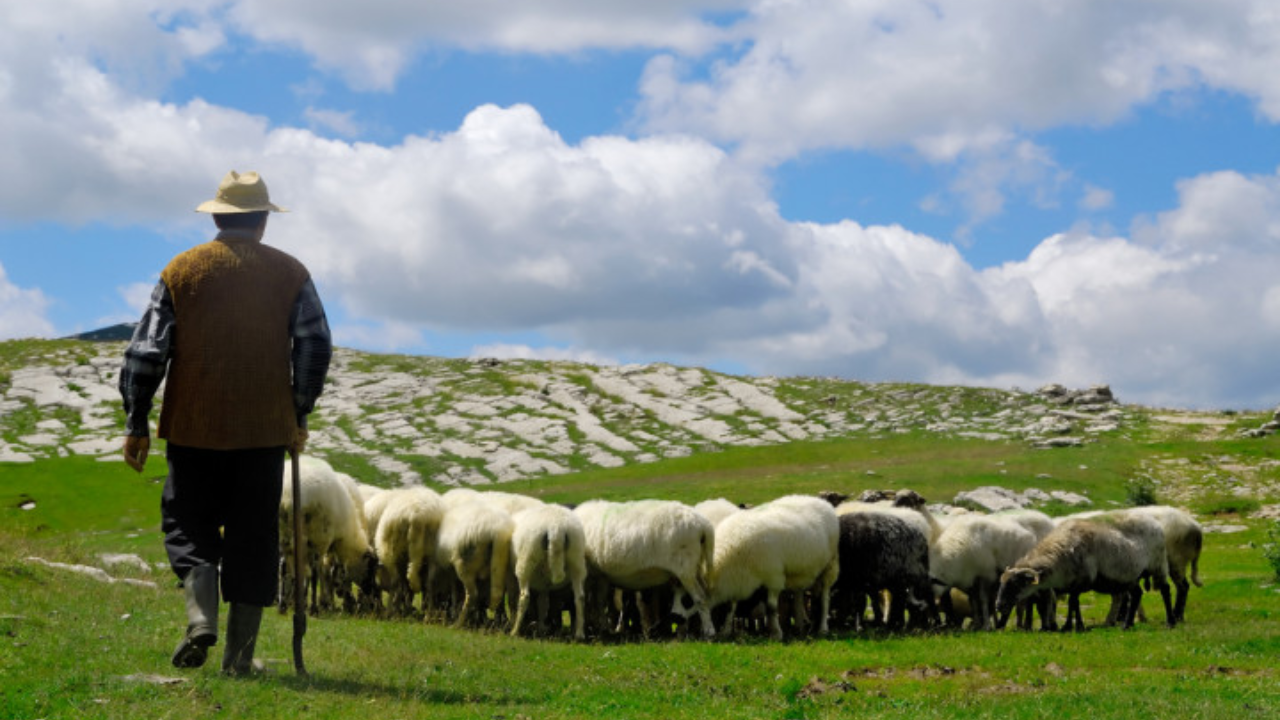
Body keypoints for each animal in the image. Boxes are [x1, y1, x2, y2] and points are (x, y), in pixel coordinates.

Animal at [509, 502, 588, 635]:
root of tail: (556, 528)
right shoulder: (543, 582)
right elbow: (543, 603)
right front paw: (541, 627)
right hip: (576, 558)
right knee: (580, 597)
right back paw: (579, 633)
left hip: (527, 559)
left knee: (524, 596)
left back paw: (514, 631)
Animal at [576, 497, 716, 635]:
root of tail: (703, 525)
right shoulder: (601, 575)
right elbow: (599, 602)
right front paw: (602, 627)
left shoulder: (591, 574)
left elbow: (590, 602)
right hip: (694, 568)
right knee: (703, 594)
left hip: (685, 569)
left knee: (700, 597)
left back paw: (709, 630)